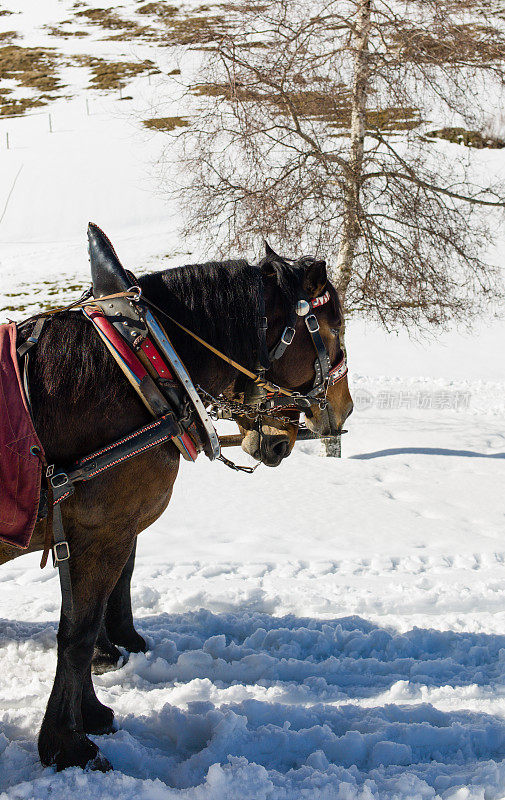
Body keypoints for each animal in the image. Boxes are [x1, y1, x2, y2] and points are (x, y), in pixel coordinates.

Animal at [0, 242, 352, 768]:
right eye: (335, 331)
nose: (345, 409)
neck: (138, 367)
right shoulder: (104, 532)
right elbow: (78, 634)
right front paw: (66, 744)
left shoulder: (87, 533)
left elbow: (83, 622)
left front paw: (91, 711)